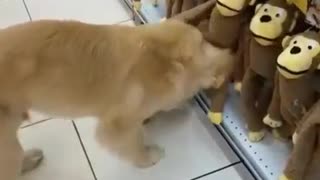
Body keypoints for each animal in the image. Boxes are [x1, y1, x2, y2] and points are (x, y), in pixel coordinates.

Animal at [0, 19, 235, 179]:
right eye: (203, 42)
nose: (231, 54)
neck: (158, 54)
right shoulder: (117, 125)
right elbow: (134, 142)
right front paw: (147, 157)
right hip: (8, 145)